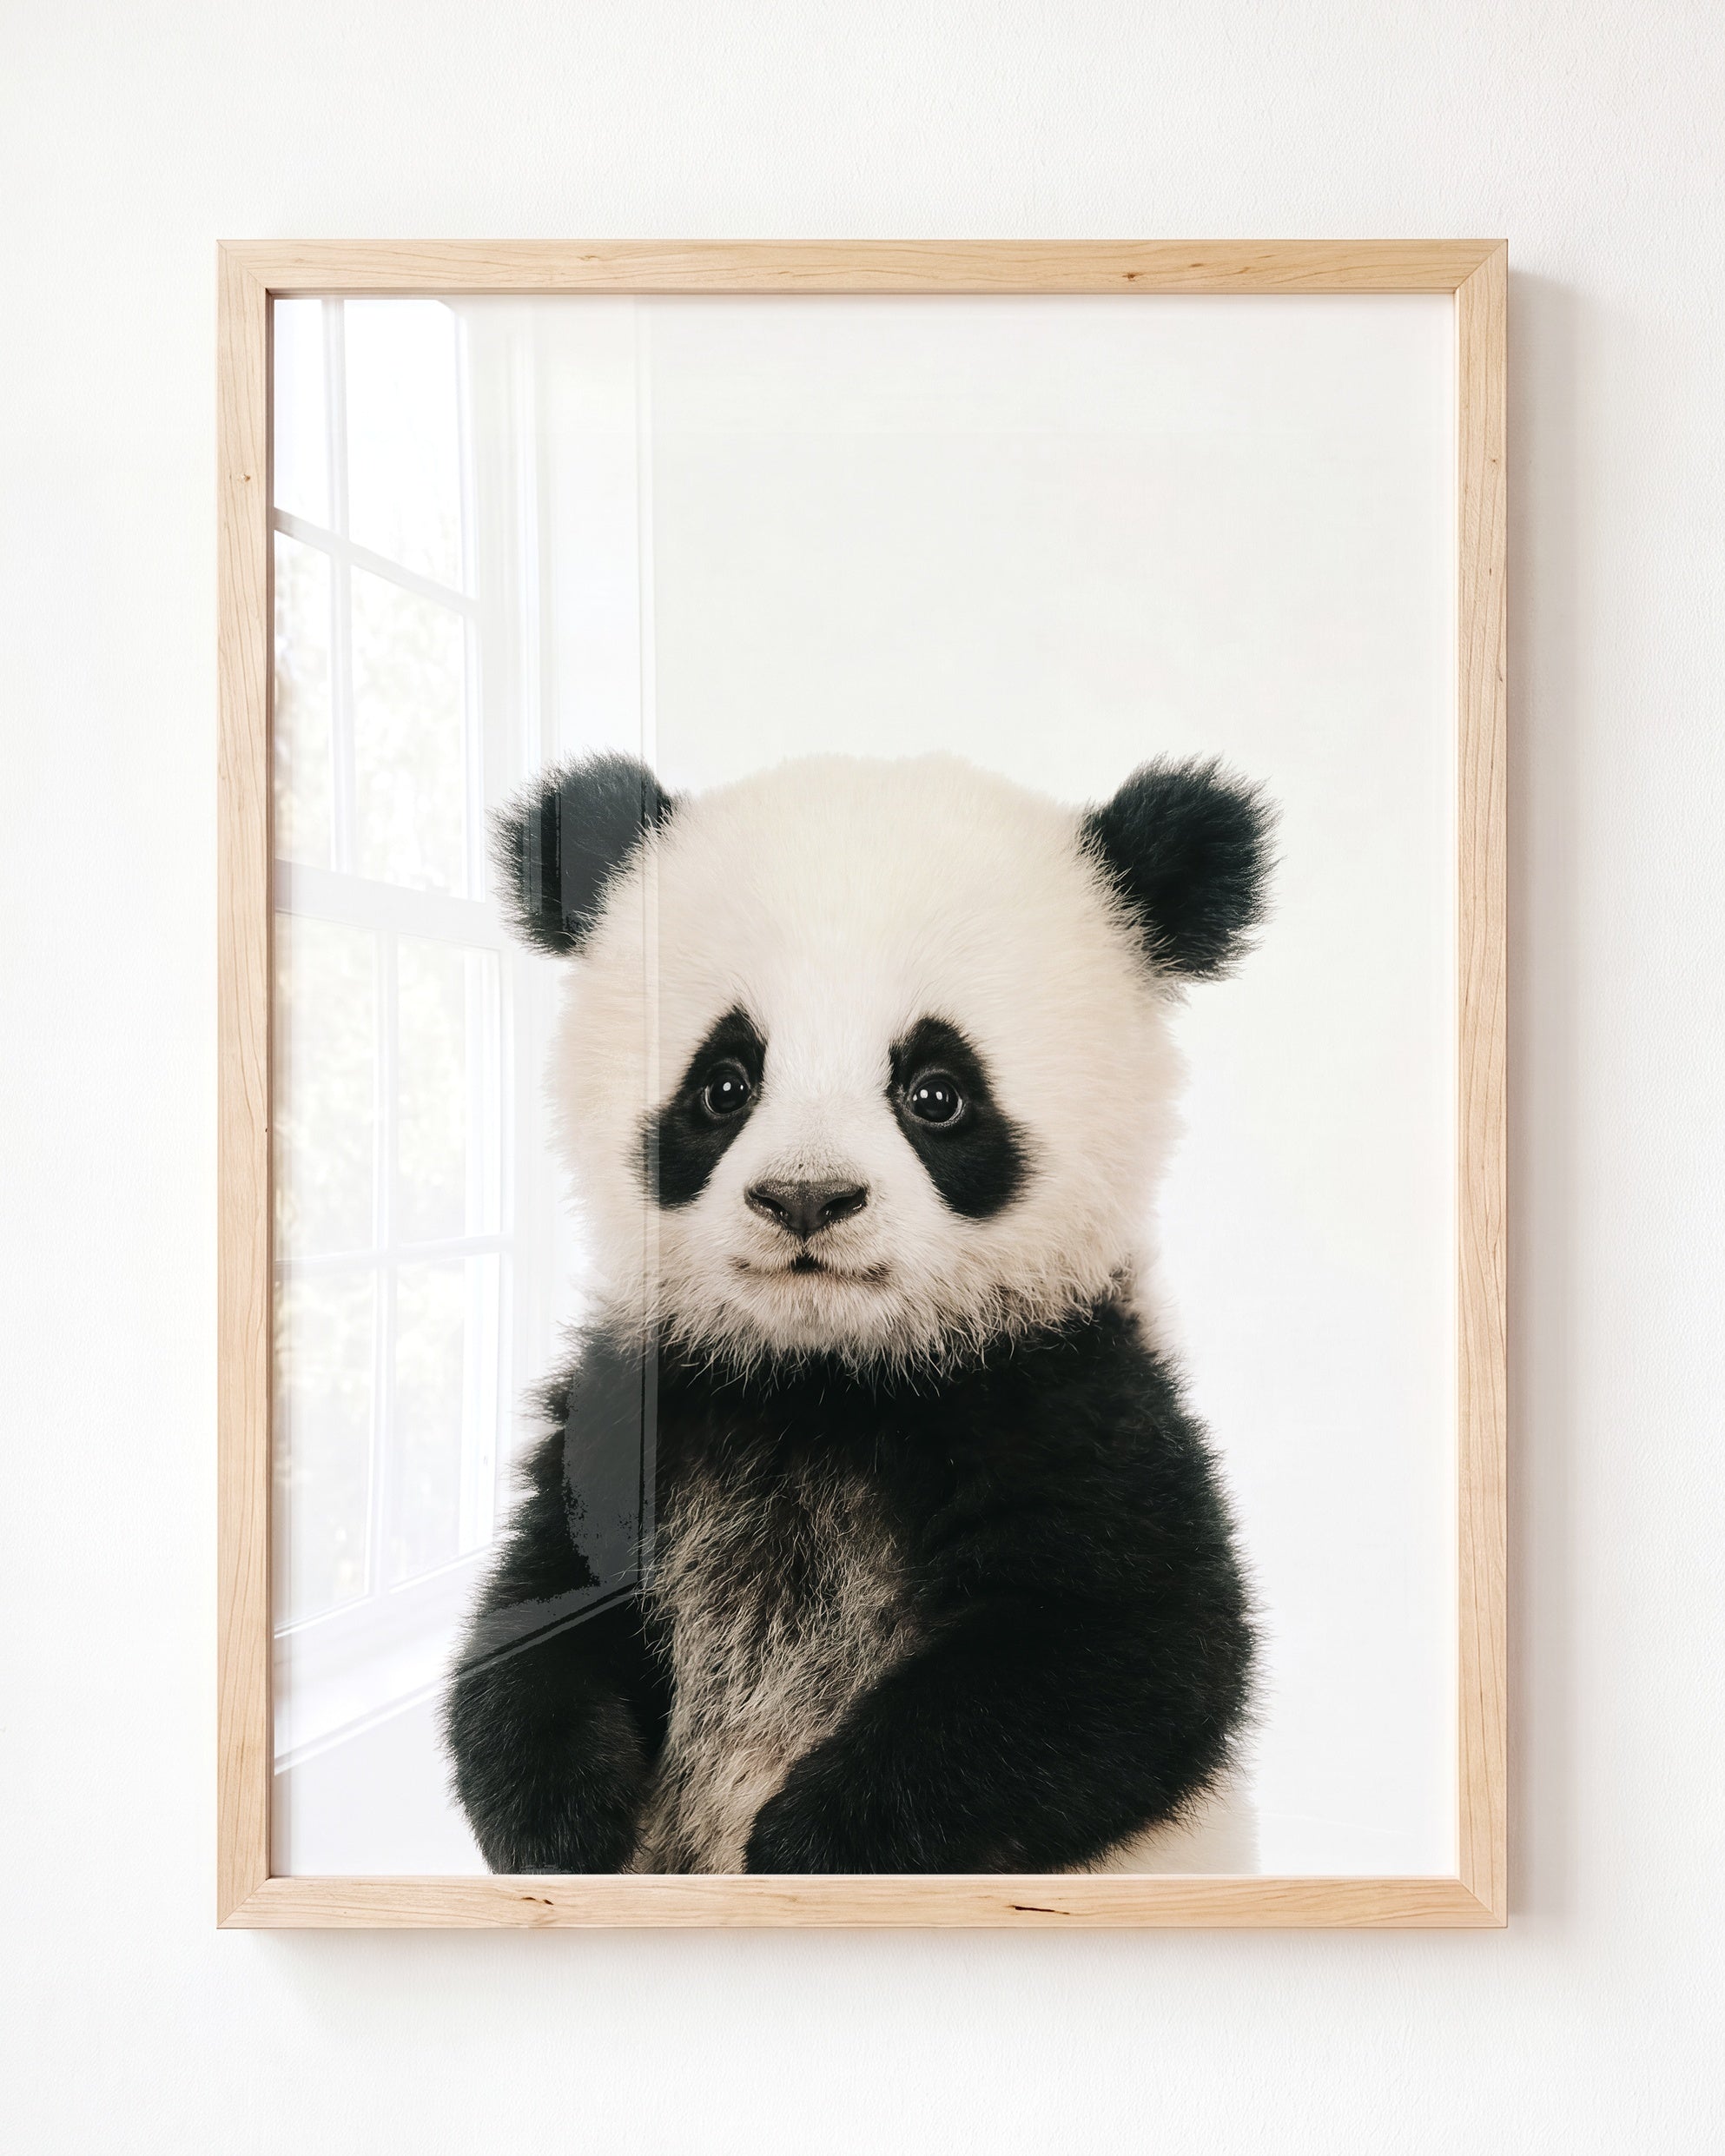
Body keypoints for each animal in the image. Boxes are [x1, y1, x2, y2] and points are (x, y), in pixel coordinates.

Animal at [443, 750, 1271, 1875]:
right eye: (724, 1083)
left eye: (936, 1091)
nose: (806, 1197)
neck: (825, 1374)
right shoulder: (643, 1405)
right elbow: (539, 1611)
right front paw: (562, 1824)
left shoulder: (1071, 1394)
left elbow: (1127, 1657)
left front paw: (807, 1845)